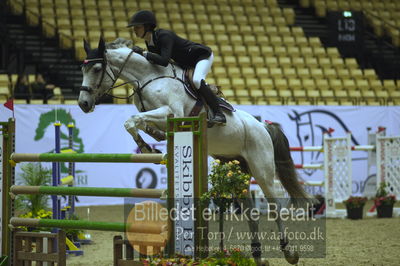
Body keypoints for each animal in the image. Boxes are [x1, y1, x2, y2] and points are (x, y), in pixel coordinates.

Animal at [78, 38, 314, 266]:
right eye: (82, 69)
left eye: (97, 69)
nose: (83, 104)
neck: (148, 77)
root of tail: (263, 126)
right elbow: (137, 122)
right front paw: (152, 140)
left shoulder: (172, 113)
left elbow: (133, 120)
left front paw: (147, 145)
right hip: (238, 169)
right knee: (251, 213)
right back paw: (258, 257)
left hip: (261, 168)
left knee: (275, 208)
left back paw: (289, 253)